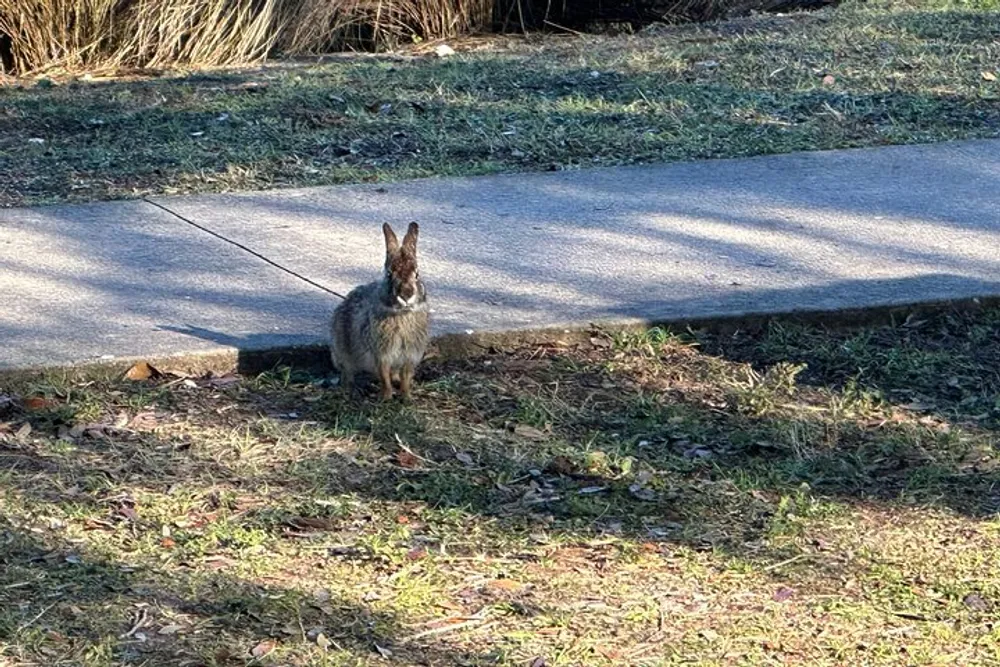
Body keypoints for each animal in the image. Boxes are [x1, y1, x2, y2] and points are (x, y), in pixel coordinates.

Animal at [330, 223, 428, 402]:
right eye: (389, 274)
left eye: (417, 274)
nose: (406, 294)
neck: (401, 313)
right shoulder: (380, 354)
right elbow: (383, 376)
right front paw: (386, 397)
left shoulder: (409, 355)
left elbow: (405, 376)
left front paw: (406, 397)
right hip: (341, 349)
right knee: (347, 372)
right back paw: (351, 388)